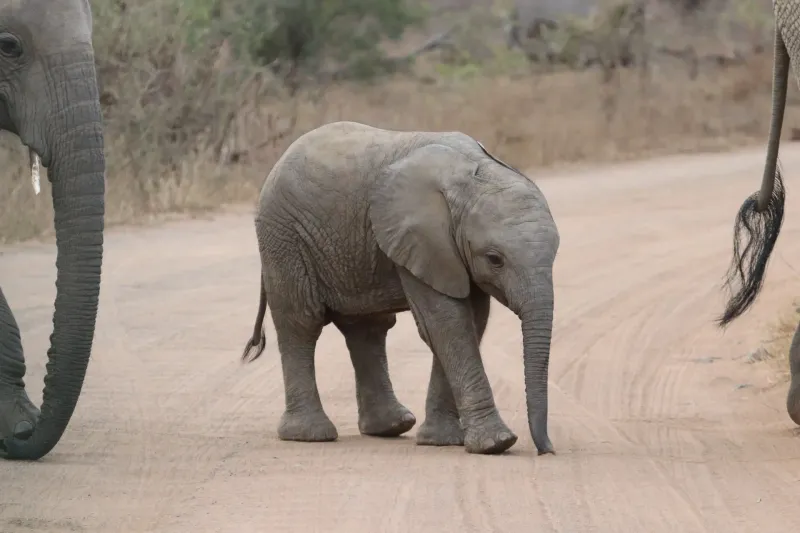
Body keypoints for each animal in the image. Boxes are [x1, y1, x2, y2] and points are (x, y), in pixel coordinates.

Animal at [240, 121, 560, 456]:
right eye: (495, 259)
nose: (546, 450)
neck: (474, 177)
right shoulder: (422, 238)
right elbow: (446, 323)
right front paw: (496, 444)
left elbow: (470, 321)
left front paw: (442, 441)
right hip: (284, 236)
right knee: (301, 322)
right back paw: (310, 435)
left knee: (367, 328)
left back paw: (392, 427)